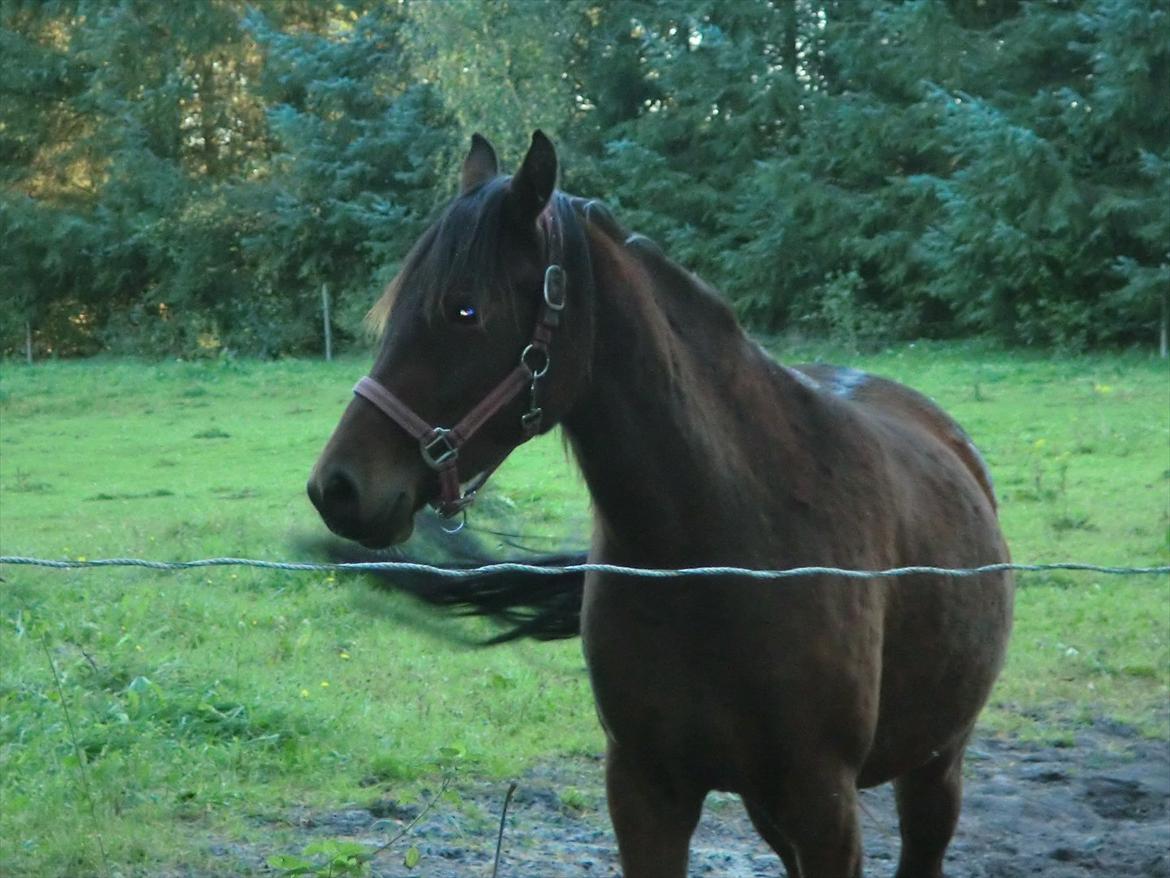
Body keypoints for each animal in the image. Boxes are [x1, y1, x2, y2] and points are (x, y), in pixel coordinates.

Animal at [307, 131, 1013, 878]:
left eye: (464, 309)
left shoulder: (826, 806)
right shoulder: (647, 792)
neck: (721, 547)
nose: (338, 488)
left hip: (934, 768)